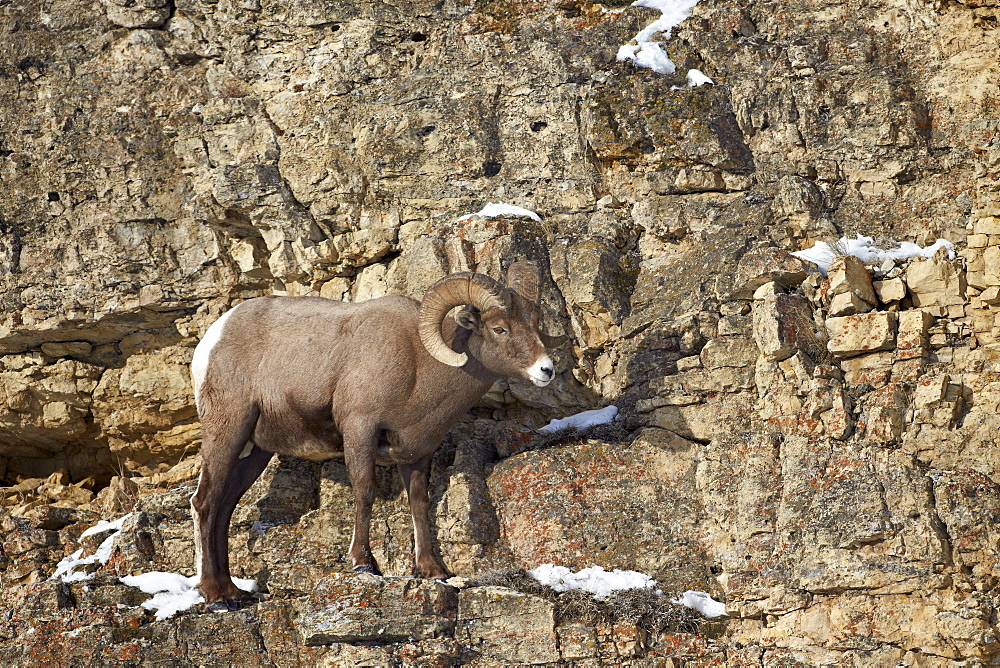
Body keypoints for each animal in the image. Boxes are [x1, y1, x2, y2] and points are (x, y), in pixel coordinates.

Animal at [189, 262, 556, 612]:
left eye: (534, 325)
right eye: (500, 329)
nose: (546, 370)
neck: (419, 365)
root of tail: (213, 338)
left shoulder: (417, 452)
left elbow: (419, 503)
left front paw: (432, 570)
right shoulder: (359, 430)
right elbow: (365, 492)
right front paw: (364, 564)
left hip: (255, 452)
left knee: (223, 509)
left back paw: (232, 592)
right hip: (228, 432)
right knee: (205, 503)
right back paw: (214, 596)